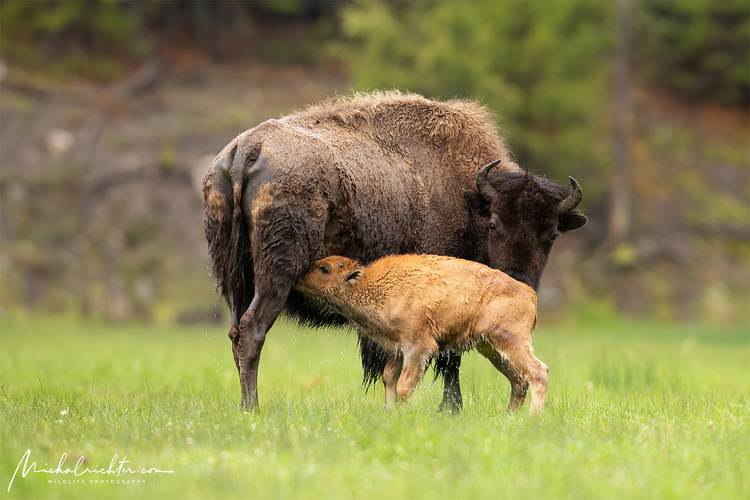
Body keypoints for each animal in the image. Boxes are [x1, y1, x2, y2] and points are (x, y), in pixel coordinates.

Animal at [296, 256, 548, 412]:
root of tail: (530, 294)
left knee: (538, 372)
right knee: (518, 380)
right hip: (491, 348)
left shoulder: (417, 348)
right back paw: (509, 417)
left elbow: (403, 386)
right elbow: (389, 377)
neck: (369, 284)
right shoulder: (398, 349)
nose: (298, 279)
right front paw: (389, 412)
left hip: (510, 341)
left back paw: (531, 418)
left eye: (325, 269)